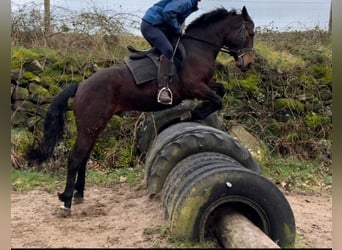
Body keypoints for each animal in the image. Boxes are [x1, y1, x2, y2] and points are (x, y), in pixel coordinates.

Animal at [26, 5, 255, 212]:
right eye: (249, 34)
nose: (248, 64)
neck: (198, 49)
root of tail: (81, 85)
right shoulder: (195, 87)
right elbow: (217, 100)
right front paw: (195, 113)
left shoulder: (205, 85)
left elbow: (221, 91)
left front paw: (195, 113)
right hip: (90, 125)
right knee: (75, 157)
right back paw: (66, 200)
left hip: (95, 125)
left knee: (83, 156)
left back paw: (79, 193)